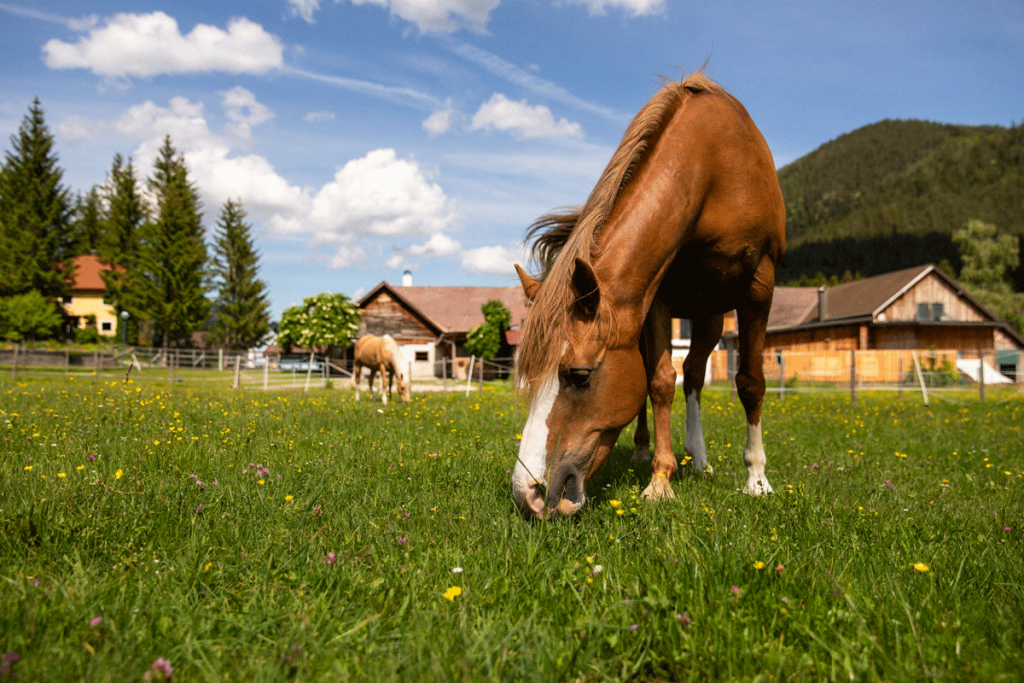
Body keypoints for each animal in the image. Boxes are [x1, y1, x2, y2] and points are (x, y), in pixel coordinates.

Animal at [512, 72, 782, 518]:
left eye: (578, 375)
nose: (527, 493)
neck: (714, 163)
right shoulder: (656, 295)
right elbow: (658, 382)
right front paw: (660, 479)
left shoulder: (759, 284)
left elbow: (750, 382)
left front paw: (757, 479)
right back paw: (646, 451)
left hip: (711, 315)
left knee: (695, 375)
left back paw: (700, 459)